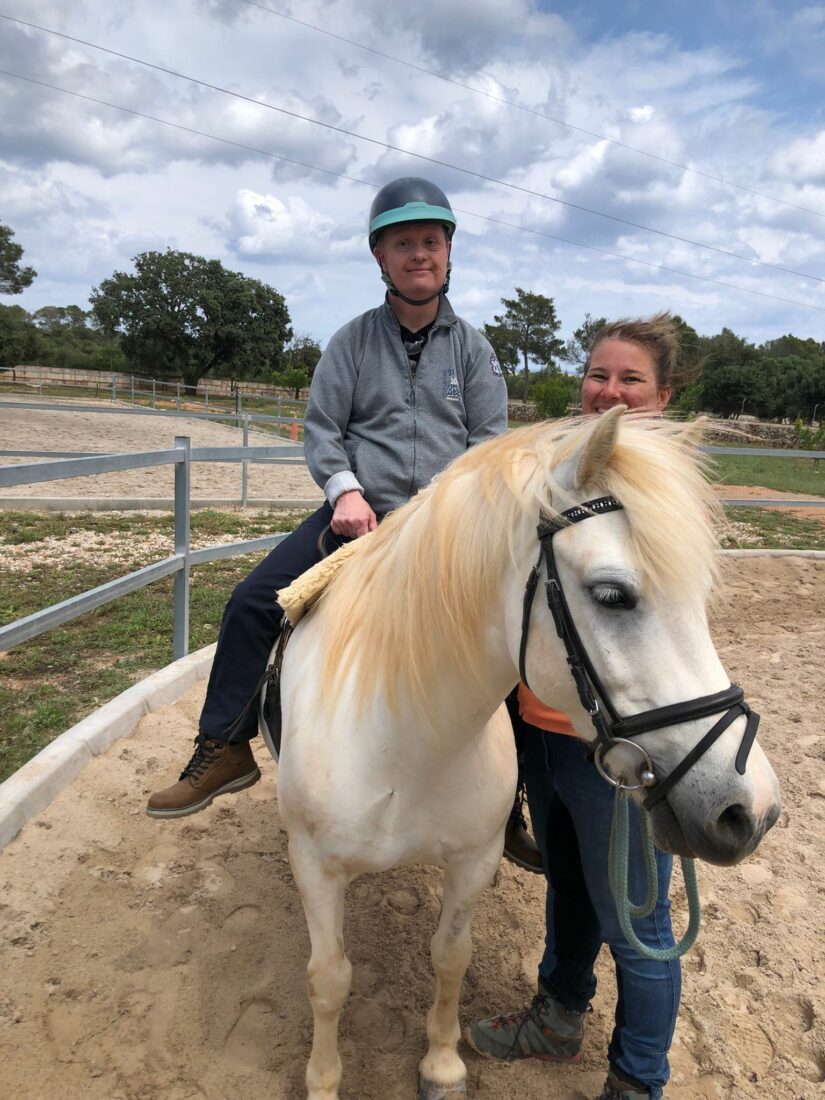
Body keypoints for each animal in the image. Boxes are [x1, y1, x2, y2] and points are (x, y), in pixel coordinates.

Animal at [276, 411, 783, 1100]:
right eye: (612, 595)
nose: (749, 810)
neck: (404, 744)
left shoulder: (472, 859)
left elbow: (450, 958)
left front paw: (442, 1065)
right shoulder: (318, 867)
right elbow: (328, 979)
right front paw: (324, 1080)